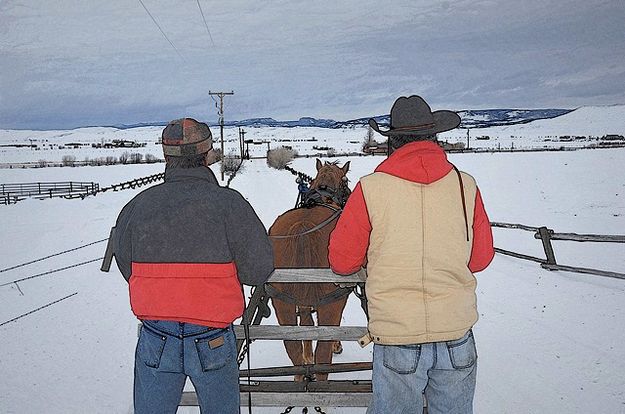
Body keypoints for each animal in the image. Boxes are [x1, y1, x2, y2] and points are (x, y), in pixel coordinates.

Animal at [268, 158, 354, 382]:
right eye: (346, 180)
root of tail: (303, 226)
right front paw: (337, 346)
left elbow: (306, 326)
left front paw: (308, 358)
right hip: (331, 301)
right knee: (323, 352)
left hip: (282, 302)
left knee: (292, 347)